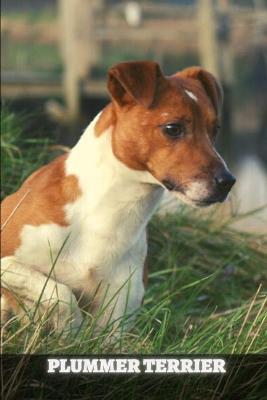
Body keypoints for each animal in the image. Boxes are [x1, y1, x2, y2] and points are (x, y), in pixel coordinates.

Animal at [0, 60, 236, 334]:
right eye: (173, 128)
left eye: (214, 129)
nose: (227, 182)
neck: (111, 215)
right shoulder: (9, 258)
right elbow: (59, 292)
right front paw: (70, 325)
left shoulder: (117, 319)